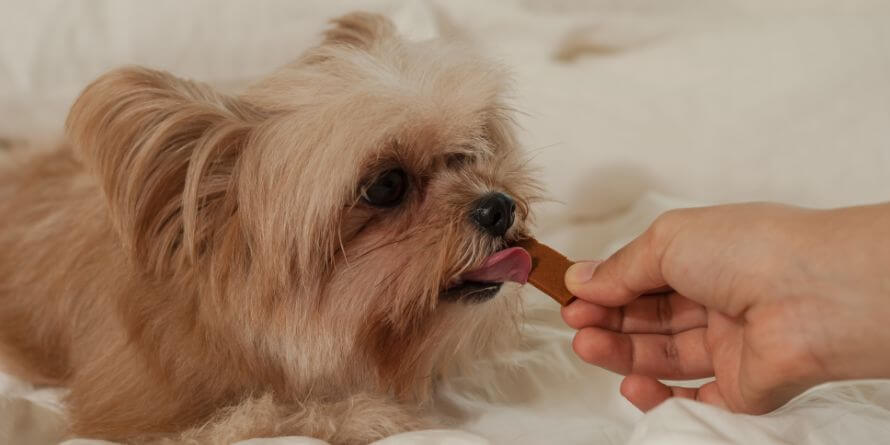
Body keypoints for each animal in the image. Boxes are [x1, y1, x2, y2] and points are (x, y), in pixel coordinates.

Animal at [0, 12, 536, 442]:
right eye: (386, 185)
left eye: (467, 154)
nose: (499, 207)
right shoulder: (143, 423)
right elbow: (269, 413)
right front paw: (372, 415)